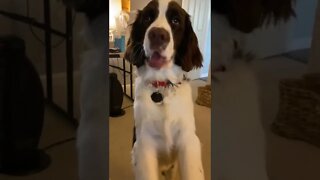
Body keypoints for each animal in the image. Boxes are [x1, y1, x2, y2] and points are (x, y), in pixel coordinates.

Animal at [125, 0, 205, 179]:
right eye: (147, 18)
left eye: (175, 21)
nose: (157, 35)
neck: (162, 88)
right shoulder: (144, 144)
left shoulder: (188, 139)